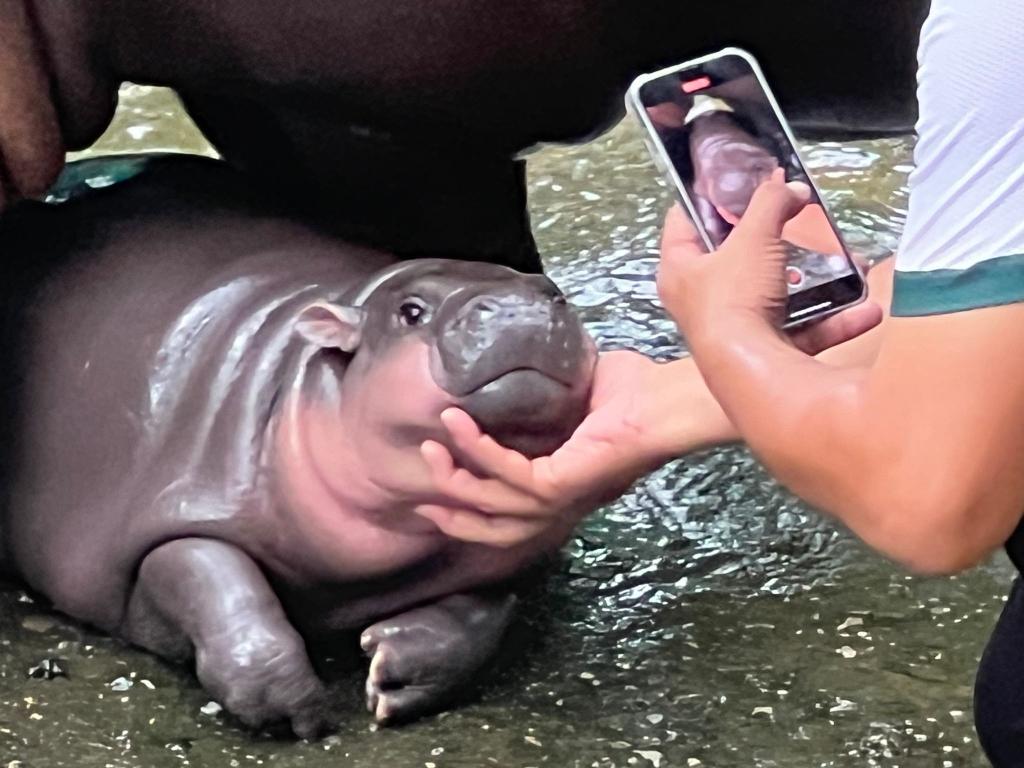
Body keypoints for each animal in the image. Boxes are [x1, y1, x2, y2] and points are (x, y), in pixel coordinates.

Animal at [0, 157, 598, 741]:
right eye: (411, 311)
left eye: (553, 292)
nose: (519, 309)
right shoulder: (183, 502)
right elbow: (217, 583)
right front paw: (295, 716)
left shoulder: (507, 552)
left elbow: (482, 613)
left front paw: (394, 674)